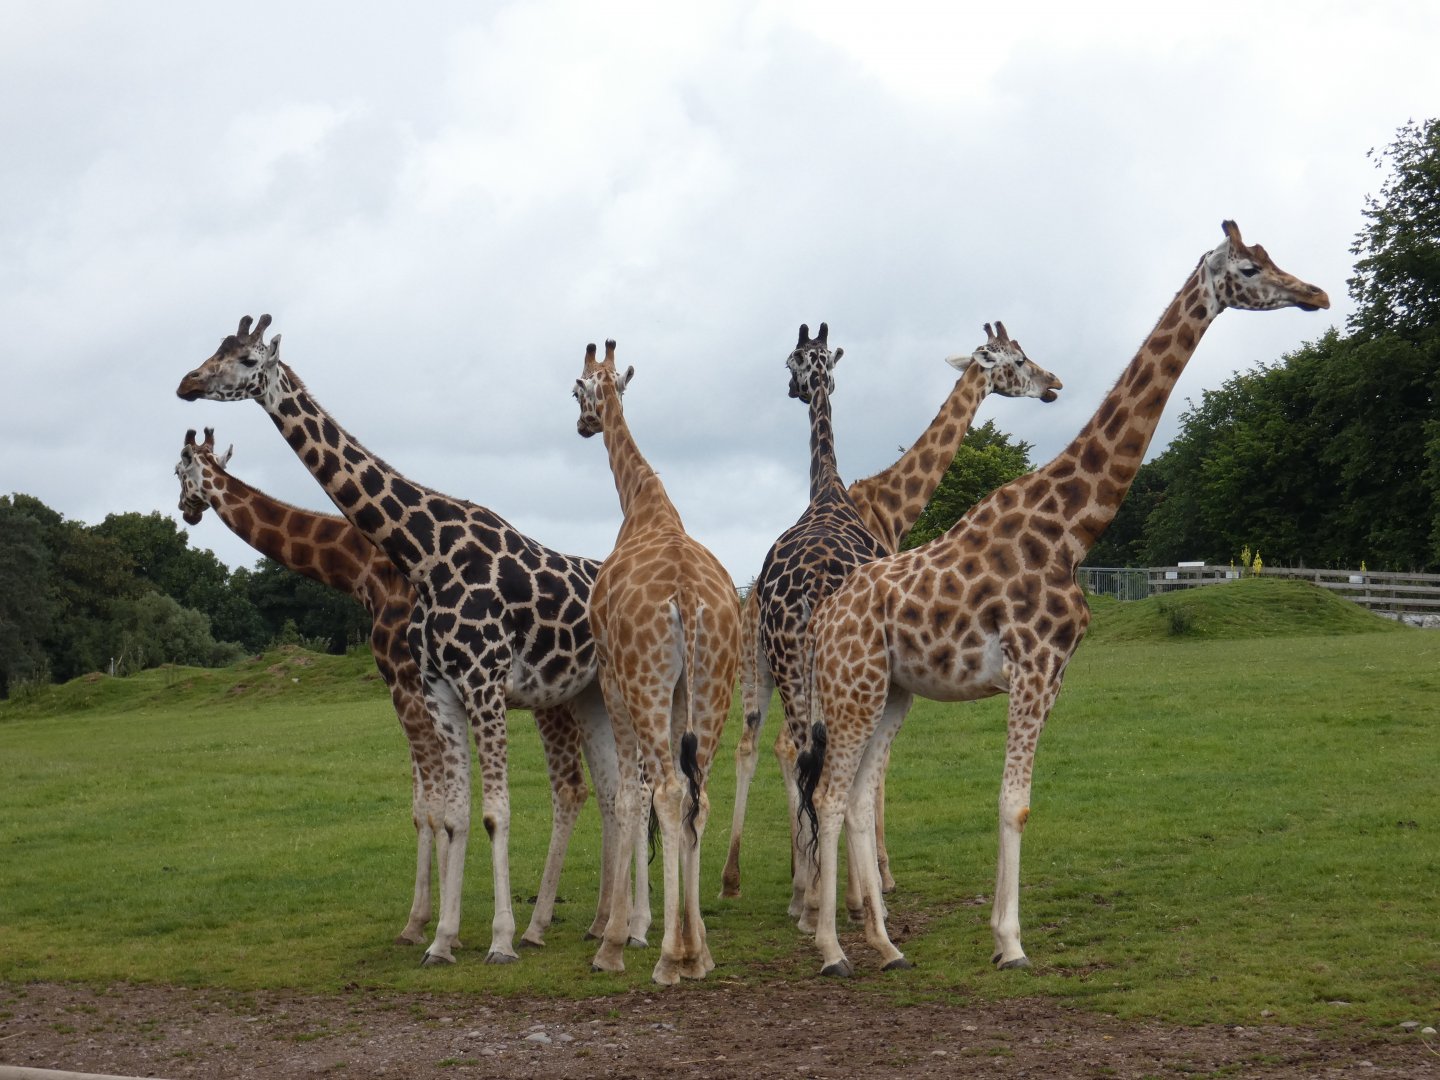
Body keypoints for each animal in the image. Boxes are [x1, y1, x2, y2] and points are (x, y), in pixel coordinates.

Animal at [176, 316, 648, 967]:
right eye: (213, 350)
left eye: (246, 359)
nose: (187, 384)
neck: (420, 553)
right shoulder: (438, 690)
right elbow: (450, 814)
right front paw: (441, 938)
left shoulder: (476, 685)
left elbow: (489, 813)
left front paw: (493, 939)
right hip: (585, 696)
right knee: (611, 792)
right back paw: (605, 926)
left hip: (617, 691)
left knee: (632, 788)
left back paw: (626, 930)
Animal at [573, 340, 741, 984]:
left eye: (576, 388)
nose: (583, 424)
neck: (643, 503)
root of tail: (686, 599)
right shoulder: (678, 694)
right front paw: (686, 938)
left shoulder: (612, 679)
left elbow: (629, 793)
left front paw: (616, 940)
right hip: (714, 683)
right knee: (699, 793)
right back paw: (698, 955)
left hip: (644, 682)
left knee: (670, 790)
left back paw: (670, 957)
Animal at [720, 322, 1063, 910]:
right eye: (1019, 361)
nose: (1053, 384)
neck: (886, 505)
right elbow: (873, 772)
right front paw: (879, 875)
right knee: (800, 749)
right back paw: (824, 888)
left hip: (762, 664)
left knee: (762, 743)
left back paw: (758, 879)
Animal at [796, 221, 1329, 976]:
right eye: (1250, 268)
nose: (1315, 294)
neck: (1073, 528)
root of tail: (825, 618)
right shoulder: (1033, 666)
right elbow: (1012, 803)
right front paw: (1012, 943)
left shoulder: (1055, 674)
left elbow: (1015, 803)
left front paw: (1000, 936)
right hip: (854, 686)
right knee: (831, 793)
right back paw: (833, 950)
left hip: (891, 690)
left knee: (863, 794)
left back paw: (886, 944)